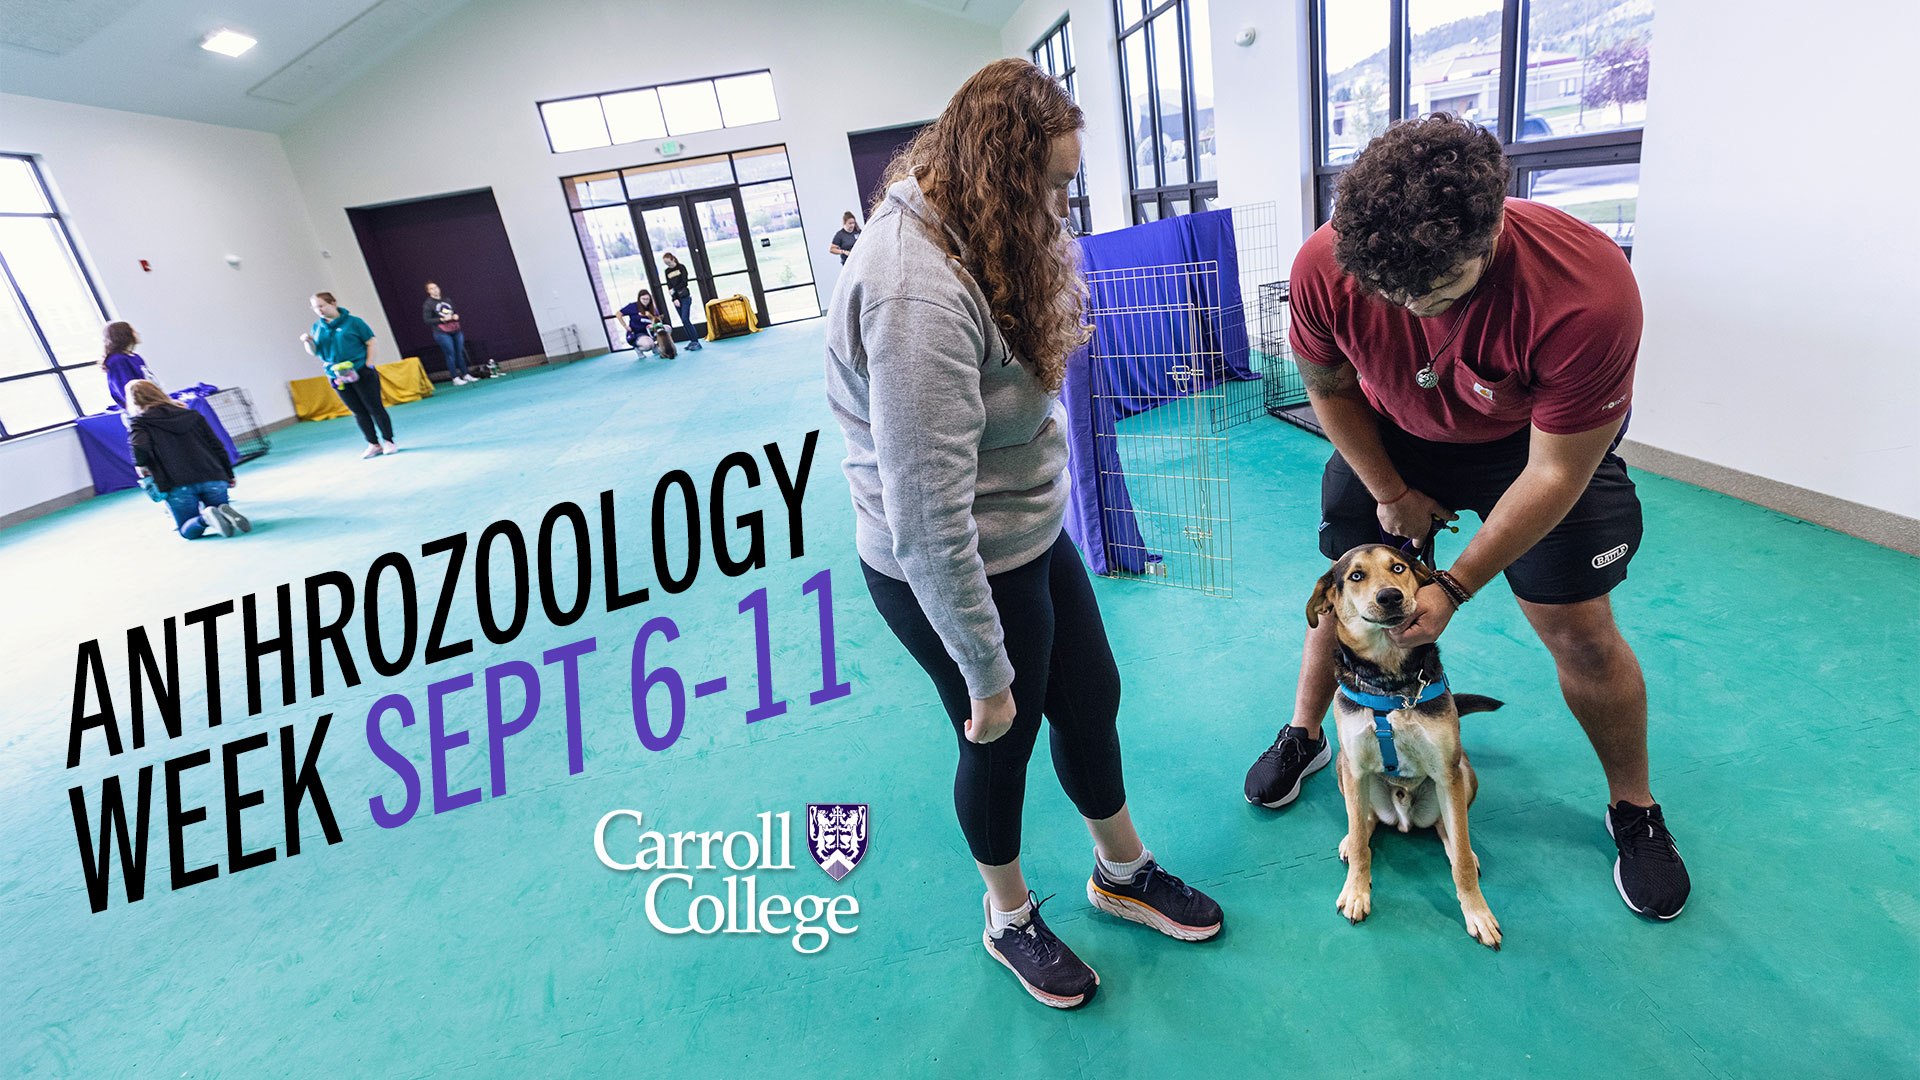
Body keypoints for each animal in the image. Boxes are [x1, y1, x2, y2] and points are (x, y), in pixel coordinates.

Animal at [1305, 541, 1512, 945]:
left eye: (1398, 567)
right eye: (1356, 575)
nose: (1390, 596)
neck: (1391, 684)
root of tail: (1403, 818)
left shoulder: (1448, 773)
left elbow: (1460, 860)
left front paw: (1477, 913)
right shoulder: (1354, 766)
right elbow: (1361, 844)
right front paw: (1357, 891)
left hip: (1463, 772)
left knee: (1450, 831)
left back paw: (1462, 846)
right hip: (1344, 769)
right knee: (1364, 822)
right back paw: (1351, 839)